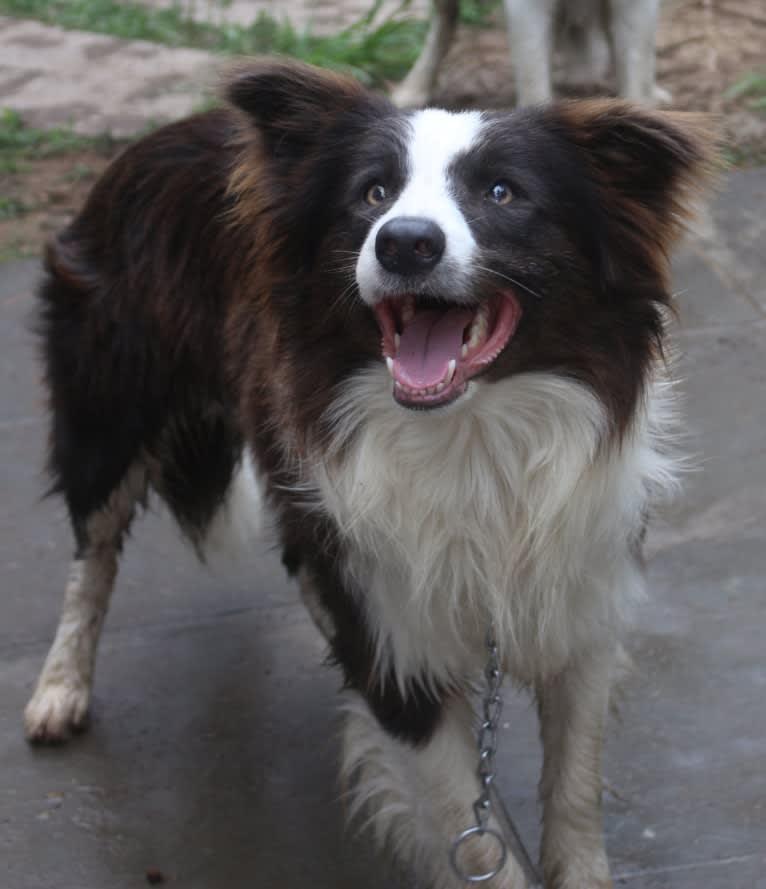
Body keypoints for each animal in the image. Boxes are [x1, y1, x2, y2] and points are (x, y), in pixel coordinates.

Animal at [25, 60, 712, 888]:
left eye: (502, 192)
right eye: (373, 193)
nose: (405, 243)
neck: (474, 439)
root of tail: (158, 136)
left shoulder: (581, 599)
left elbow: (576, 784)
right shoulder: (396, 650)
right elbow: (471, 832)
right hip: (108, 403)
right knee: (91, 554)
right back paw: (60, 686)